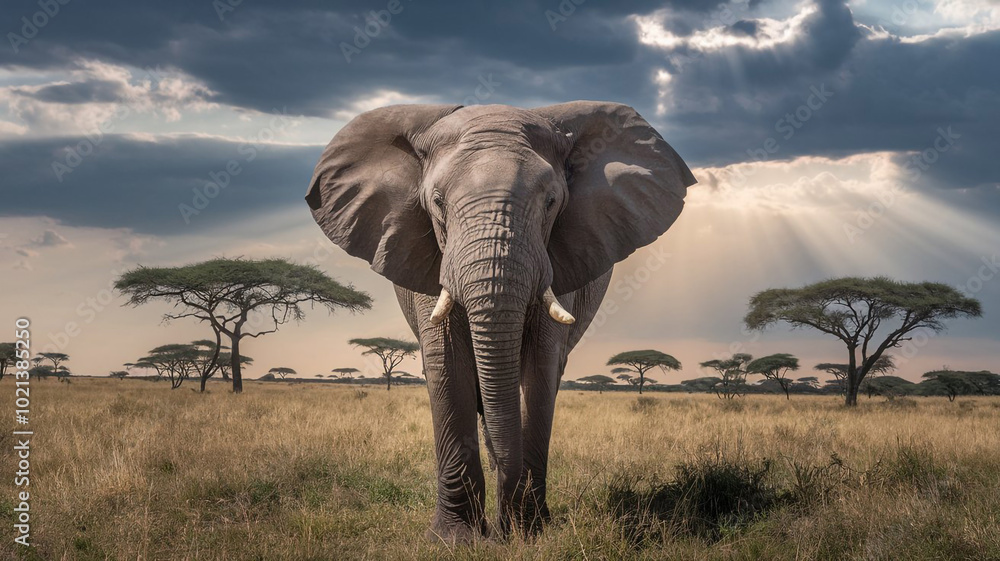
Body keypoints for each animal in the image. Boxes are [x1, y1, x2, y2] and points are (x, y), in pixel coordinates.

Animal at [306, 101, 695, 541]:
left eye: (551, 201)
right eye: (437, 202)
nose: (503, 530)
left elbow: (539, 370)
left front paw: (529, 531)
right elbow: (448, 364)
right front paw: (456, 539)